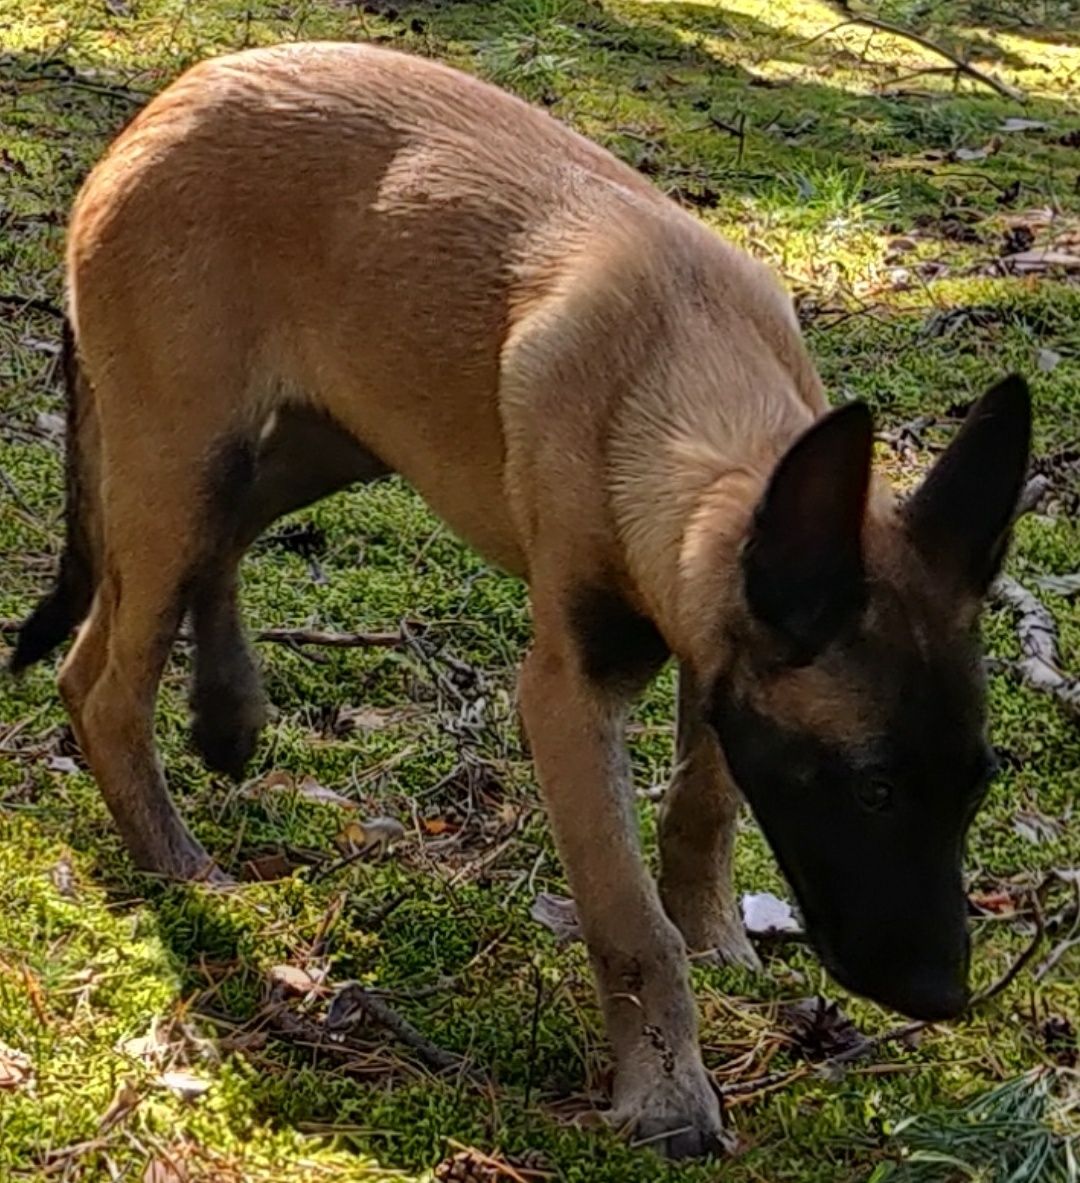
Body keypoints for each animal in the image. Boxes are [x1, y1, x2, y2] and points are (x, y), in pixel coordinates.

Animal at [12, 43, 1031, 1154]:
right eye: (873, 790)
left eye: (978, 783)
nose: (941, 998)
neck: (683, 374)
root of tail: (162, 104)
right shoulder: (567, 695)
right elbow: (629, 923)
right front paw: (667, 1089)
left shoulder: (716, 644)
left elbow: (705, 803)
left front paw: (716, 937)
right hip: (186, 462)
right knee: (103, 683)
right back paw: (178, 863)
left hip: (318, 445)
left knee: (185, 573)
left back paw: (226, 710)